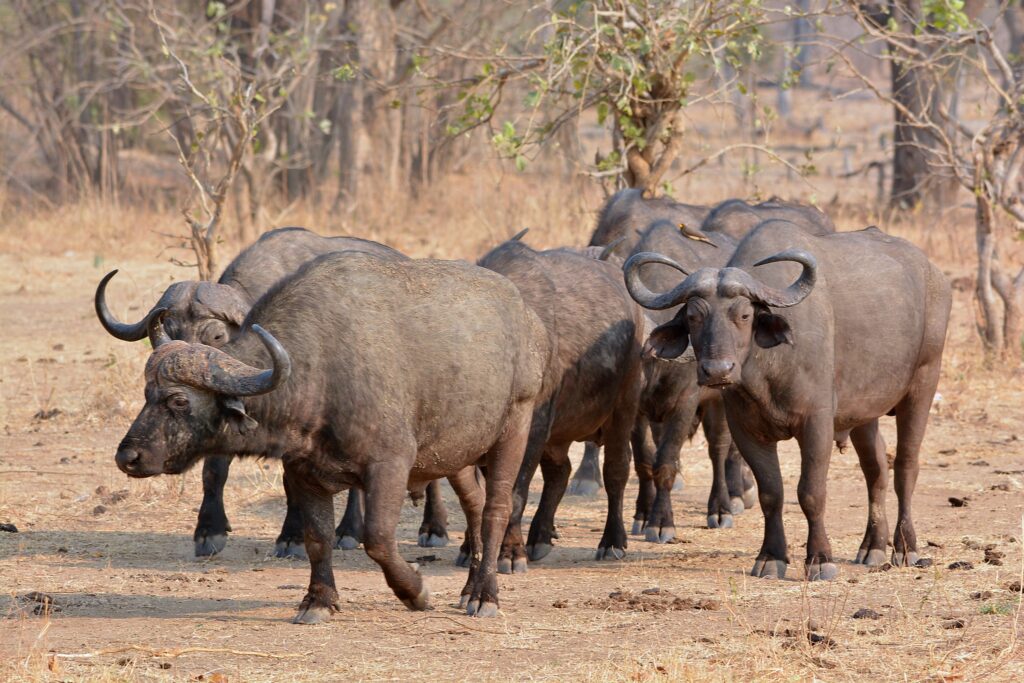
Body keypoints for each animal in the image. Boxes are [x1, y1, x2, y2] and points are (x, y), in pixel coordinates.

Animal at [626, 220, 951, 579]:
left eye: (744, 316)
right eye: (694, 317)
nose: (717, 370)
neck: (768, 369)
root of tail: (935, 274)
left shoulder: (816, 423)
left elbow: (811, 492)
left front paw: (820, 559)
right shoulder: (746, 430)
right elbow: (771, 493)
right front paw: (771, 557)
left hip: (923, 383)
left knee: (906, 466)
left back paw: (905, 547)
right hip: (864, 413)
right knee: (876, 468)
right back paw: (873, 546)